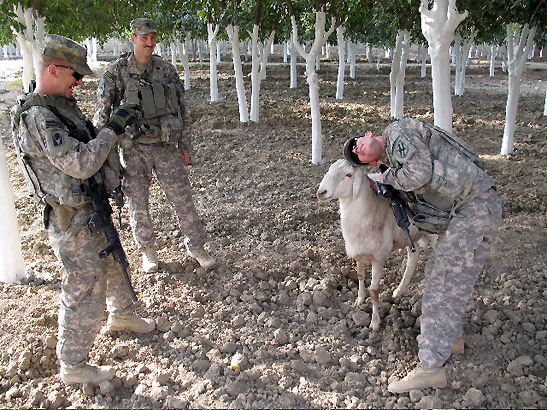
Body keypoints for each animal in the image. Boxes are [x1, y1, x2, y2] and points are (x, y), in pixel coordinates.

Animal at [316, 159, 436, 332]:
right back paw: (399, 291)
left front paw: (374, 322)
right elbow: (360, 276)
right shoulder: (359, 253)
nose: (322, 192)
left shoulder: (379, 257)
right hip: (408, 235)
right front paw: (359, 300)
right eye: (330, 169)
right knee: (414, 256)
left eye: (348, 175)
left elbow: (374, 291)